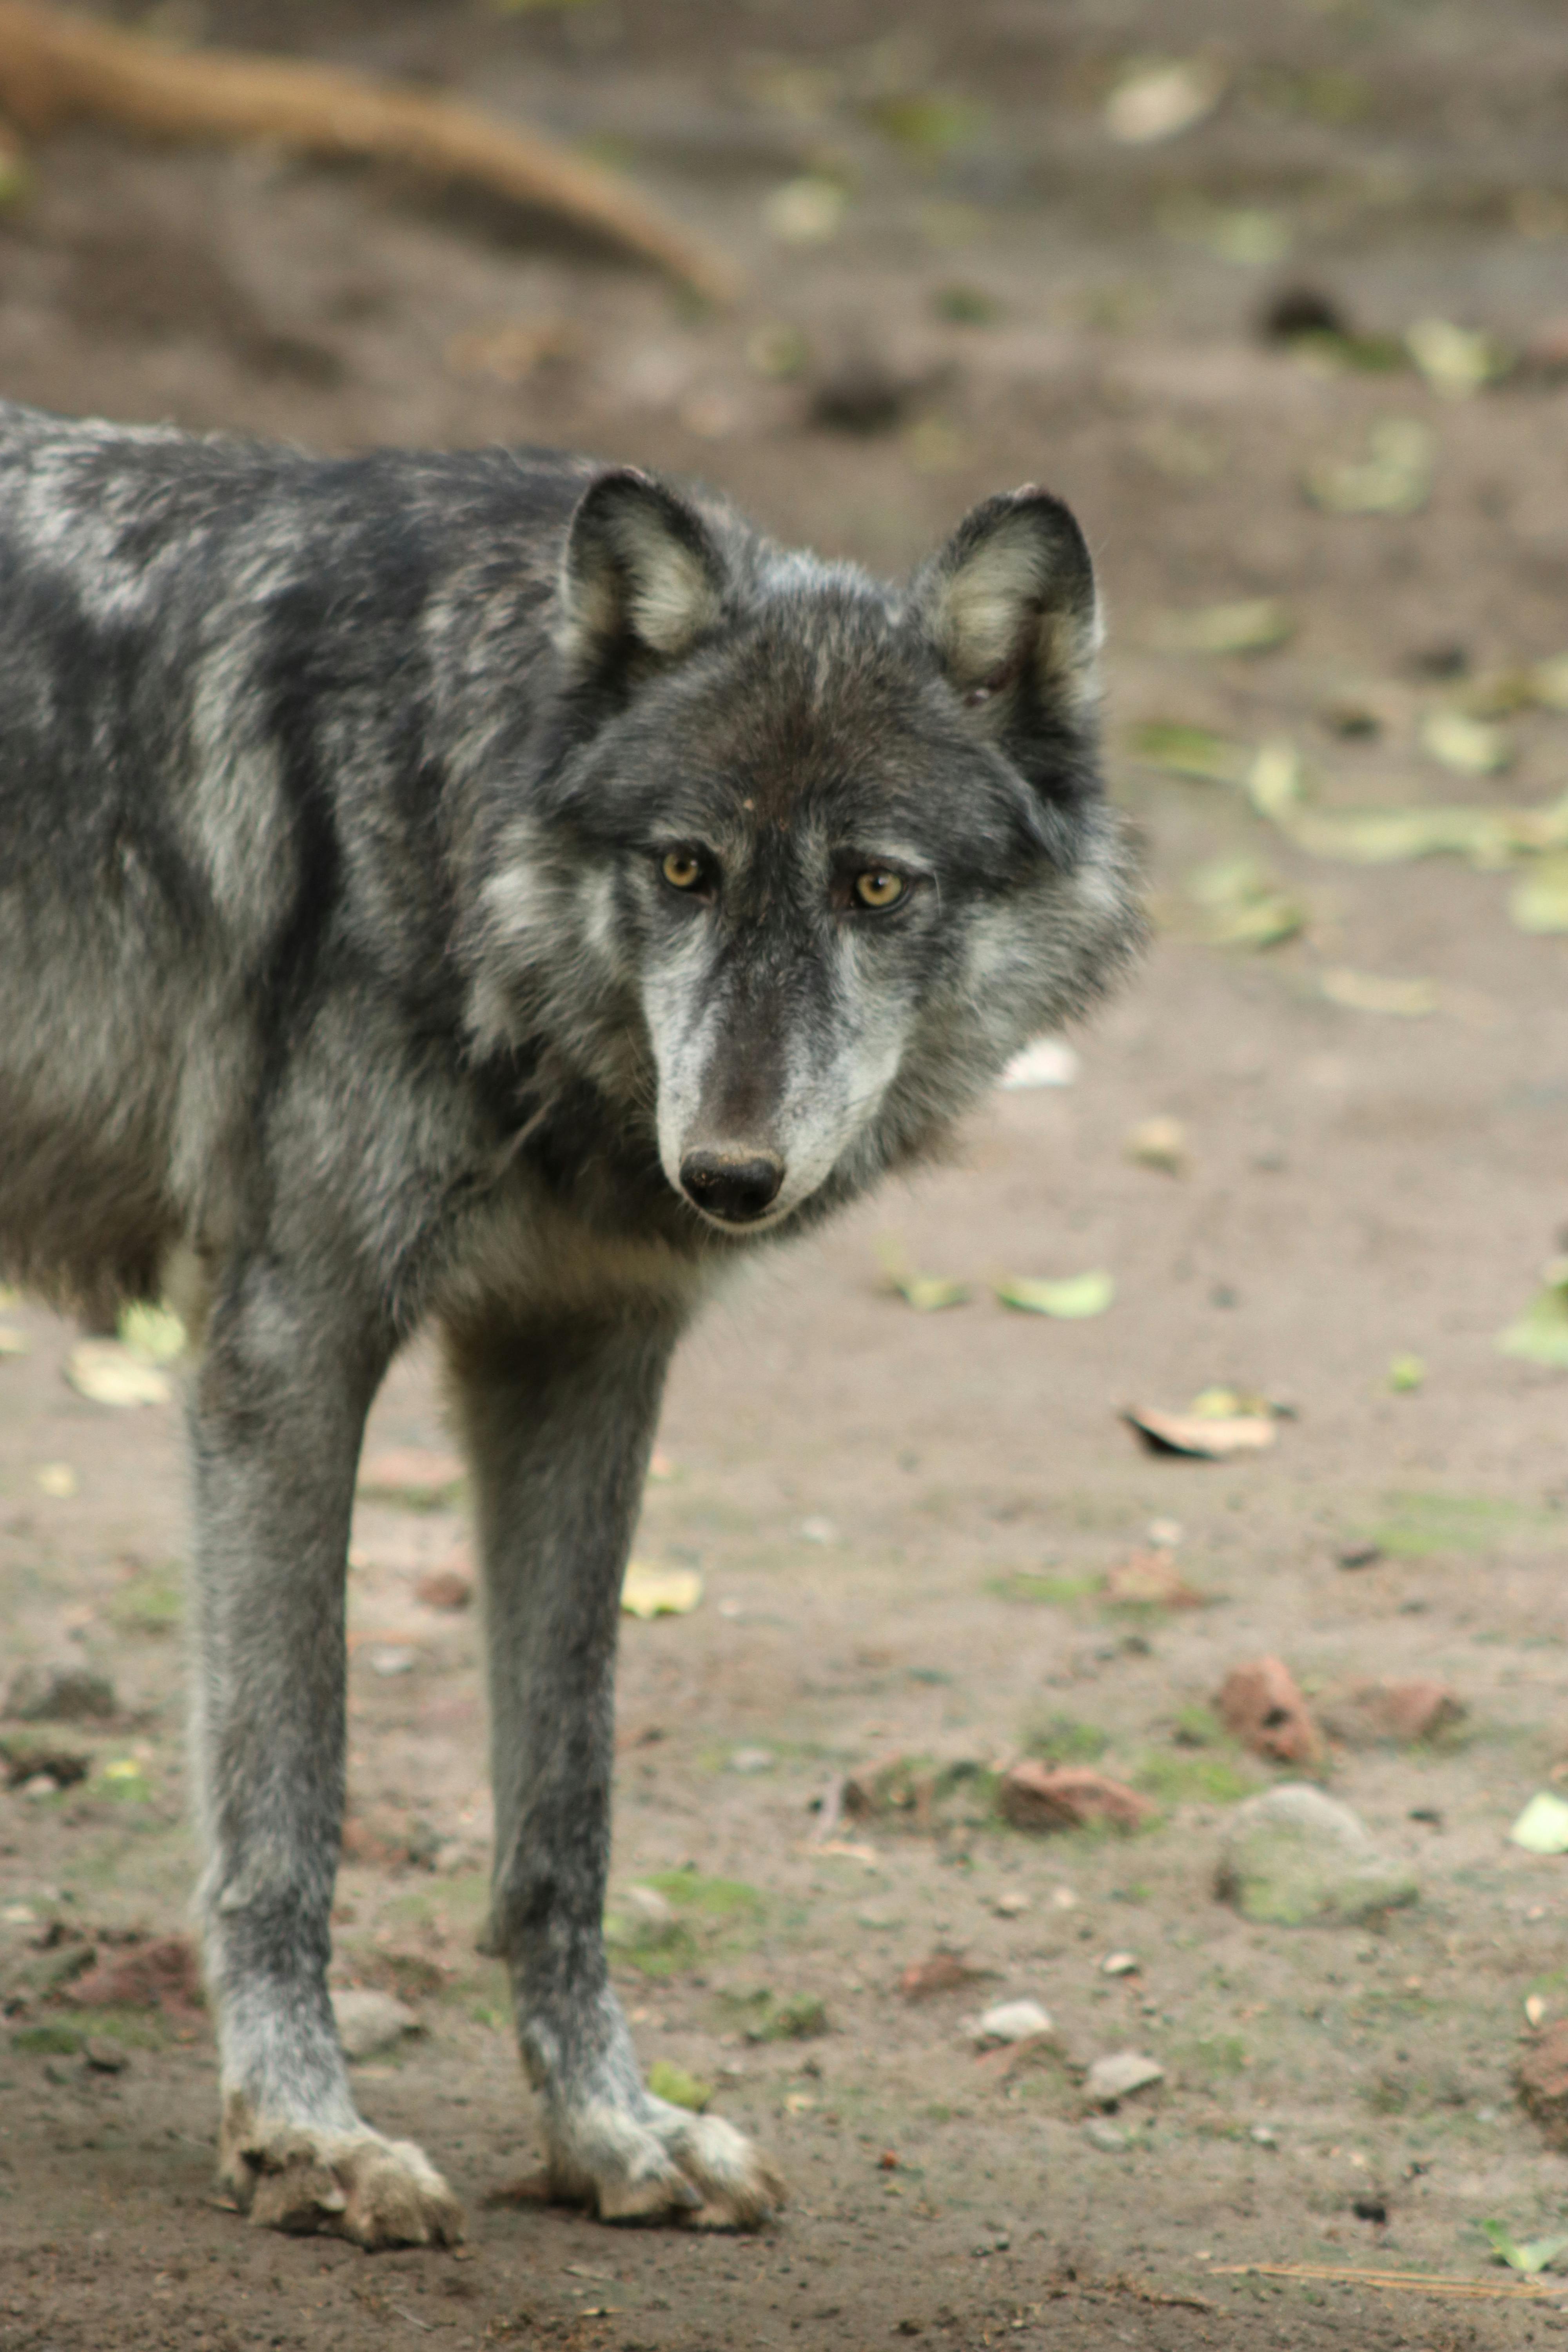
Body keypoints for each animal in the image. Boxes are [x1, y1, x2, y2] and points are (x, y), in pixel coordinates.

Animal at [0, 397, 1141, 2247]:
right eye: (683, 868)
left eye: (873, 889)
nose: (727, 1172)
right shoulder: (288, 1349)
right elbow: (285, 1801)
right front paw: (301, 2134)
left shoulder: (583, 1358)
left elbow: (565, 1812)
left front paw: (608, 2130)